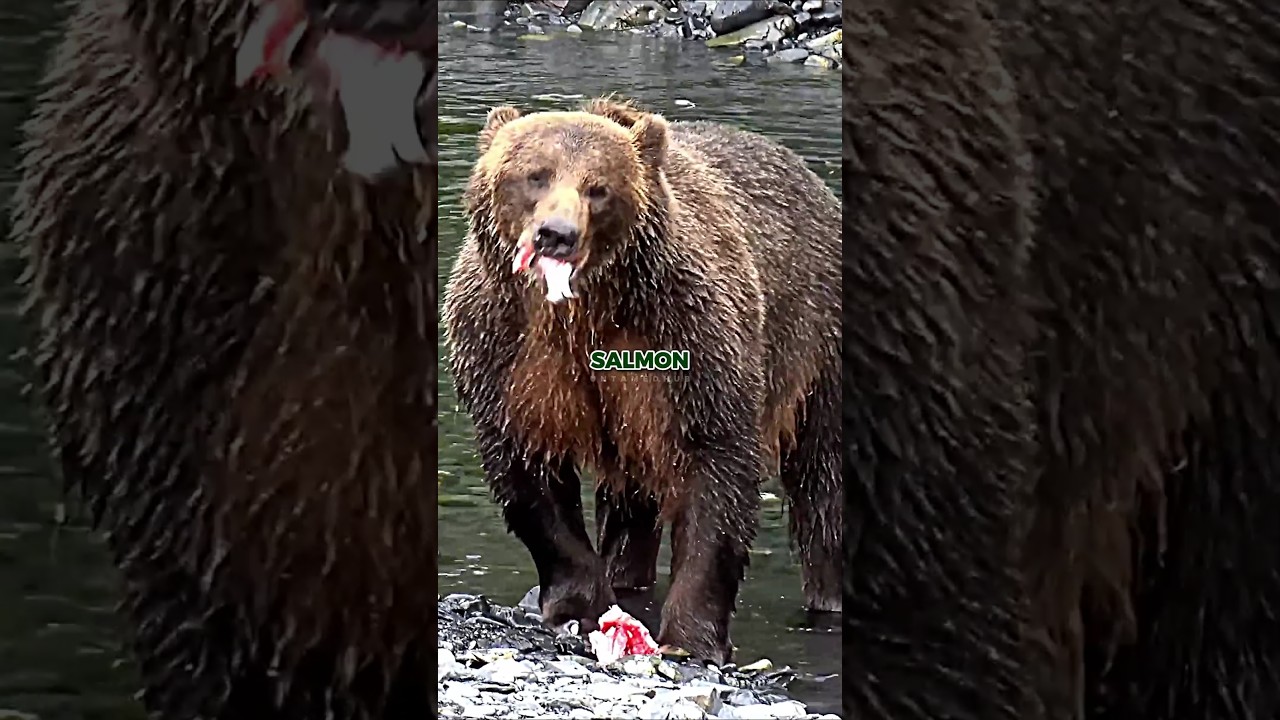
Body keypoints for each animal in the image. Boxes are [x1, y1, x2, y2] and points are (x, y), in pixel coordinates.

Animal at [442, 97, 842, 665]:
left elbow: (717, 470)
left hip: (814, 342)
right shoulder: (506, 348)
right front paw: (577, 603)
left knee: (824, 484)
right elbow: (530, 474)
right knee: (632, 498)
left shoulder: (687, 337)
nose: (557, 234)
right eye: (535, 174)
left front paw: (692, 637)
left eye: (599, 187)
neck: (582, 311)